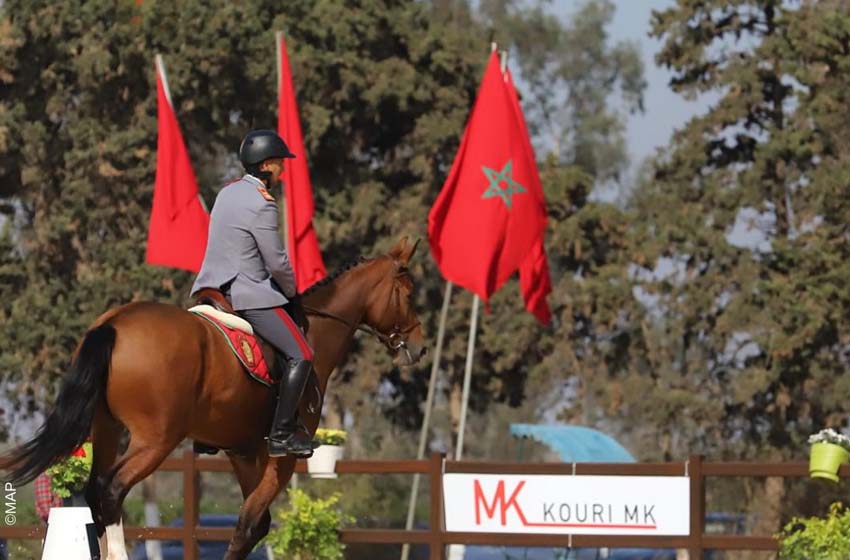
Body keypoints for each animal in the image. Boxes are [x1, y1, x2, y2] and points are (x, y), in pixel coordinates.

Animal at [0, 237, 424, 560]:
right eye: (408, 293)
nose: (418, 348)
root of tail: (114, 324)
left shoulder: (244, 451)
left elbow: (257, 524)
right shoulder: (282, 457)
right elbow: (249, 523)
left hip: (106, 429)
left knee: (95, 492)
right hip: (155, 440)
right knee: (112, 489)